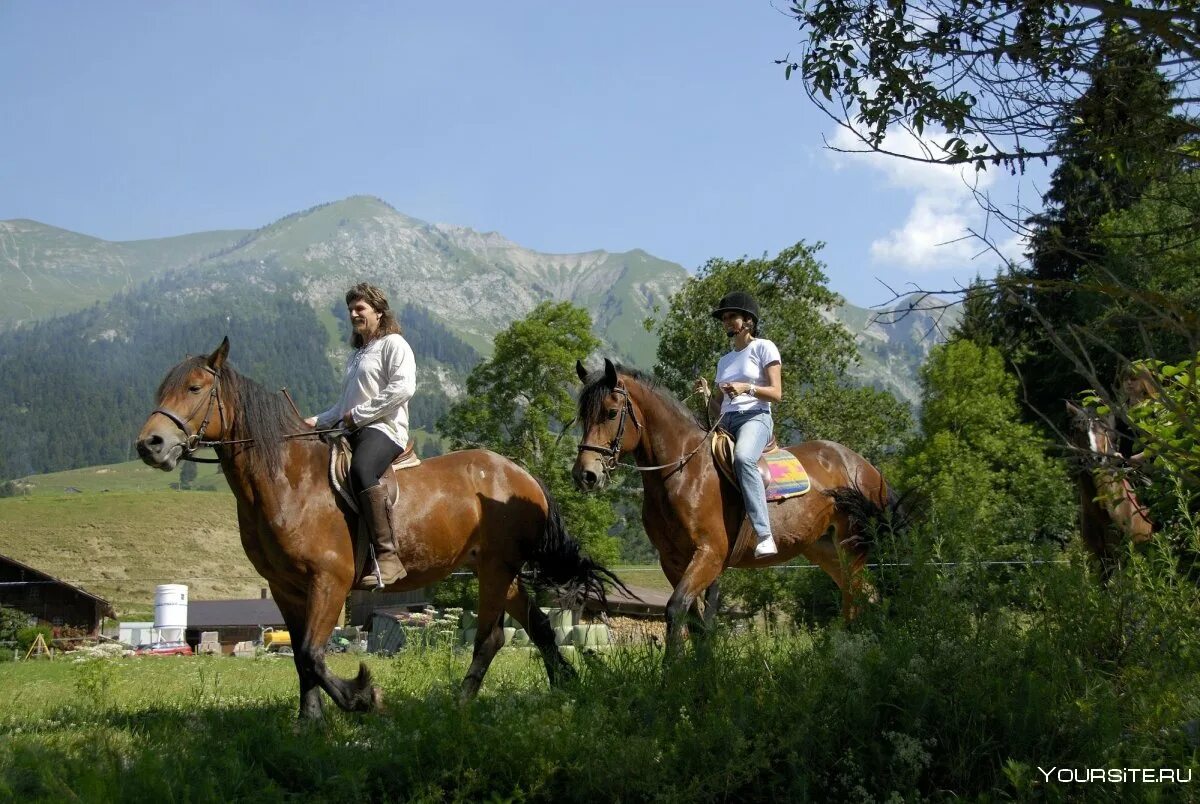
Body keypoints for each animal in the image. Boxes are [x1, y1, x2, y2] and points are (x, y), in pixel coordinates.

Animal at [138, 336, 619, 720]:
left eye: (195, 388)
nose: (150, 445)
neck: (289, 481)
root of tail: (523, 476)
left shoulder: (329, 581)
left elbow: (312, 654)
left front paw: (363, 697)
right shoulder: (285, 587)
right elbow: (300, 658)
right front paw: (309, 724)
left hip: (497, 570)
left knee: (491, 638)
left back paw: (461, 704)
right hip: (498, 570)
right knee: (538, 628)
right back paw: (566, 688)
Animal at [573, 362, 902, 652]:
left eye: (611, 412)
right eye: (582, 417)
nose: (585, 475)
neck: (684, 472)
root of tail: (863, 466)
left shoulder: (709, 554)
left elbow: (676, 610)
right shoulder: (672, 561)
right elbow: (695, 622)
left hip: (851, 545)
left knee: (857, 598)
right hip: (825, 549)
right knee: (861, 595)